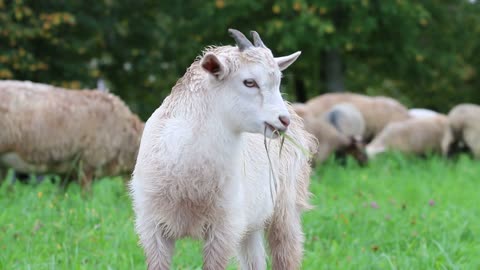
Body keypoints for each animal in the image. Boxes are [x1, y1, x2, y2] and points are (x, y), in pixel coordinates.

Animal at [128, 29, 316, 270]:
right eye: (249, 82)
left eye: (278, 81)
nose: (283, 120)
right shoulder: (152, 227)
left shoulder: (223, 228)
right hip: (251, 223)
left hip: (285, 209)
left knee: (286, 253)